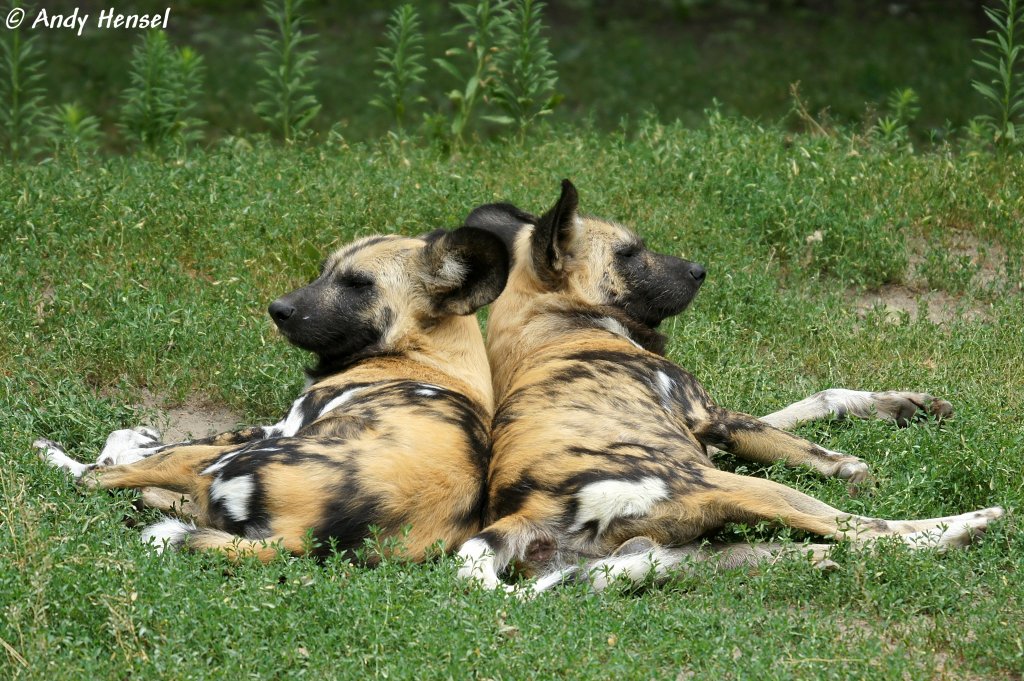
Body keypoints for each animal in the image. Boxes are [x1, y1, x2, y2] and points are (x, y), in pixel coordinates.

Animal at [39, 225, 512, 561]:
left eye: (358, 283)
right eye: (323, 271)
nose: (277, 309)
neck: (425, 355)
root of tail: (301, 539)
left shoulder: (283, 427)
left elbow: (124, 449)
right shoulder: (273, 426)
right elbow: (132, 440)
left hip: (229, 460)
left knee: (99, 479)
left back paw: (57, 458)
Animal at [456, 180, 999, 589]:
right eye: (629, 253)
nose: (699, 270)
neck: (553, 321)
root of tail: (528, 513)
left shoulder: (708, 434)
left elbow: (822, 398)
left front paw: (903, 405)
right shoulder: (712, 418)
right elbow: (808, 446)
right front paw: (850, 466)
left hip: (667, 546)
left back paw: (806, 562)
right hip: (745, 487)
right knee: (864, 531)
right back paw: (967, 526)